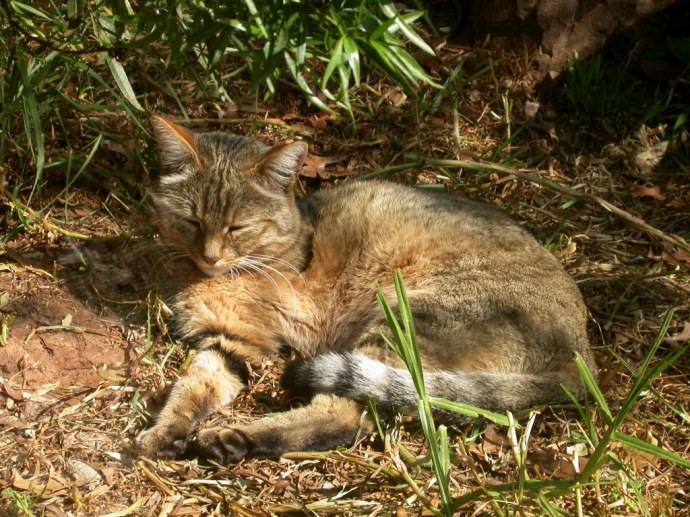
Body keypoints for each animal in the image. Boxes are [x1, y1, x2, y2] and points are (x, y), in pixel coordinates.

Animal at [133, 116, 592, 460]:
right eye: (192, 221)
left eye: (237, 227)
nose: (210, 256)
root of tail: (583, 355)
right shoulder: (229, 340)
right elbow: (191, 386)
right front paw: (163, 431)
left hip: (404, 318)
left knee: (347, 413)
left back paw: (236, 437)